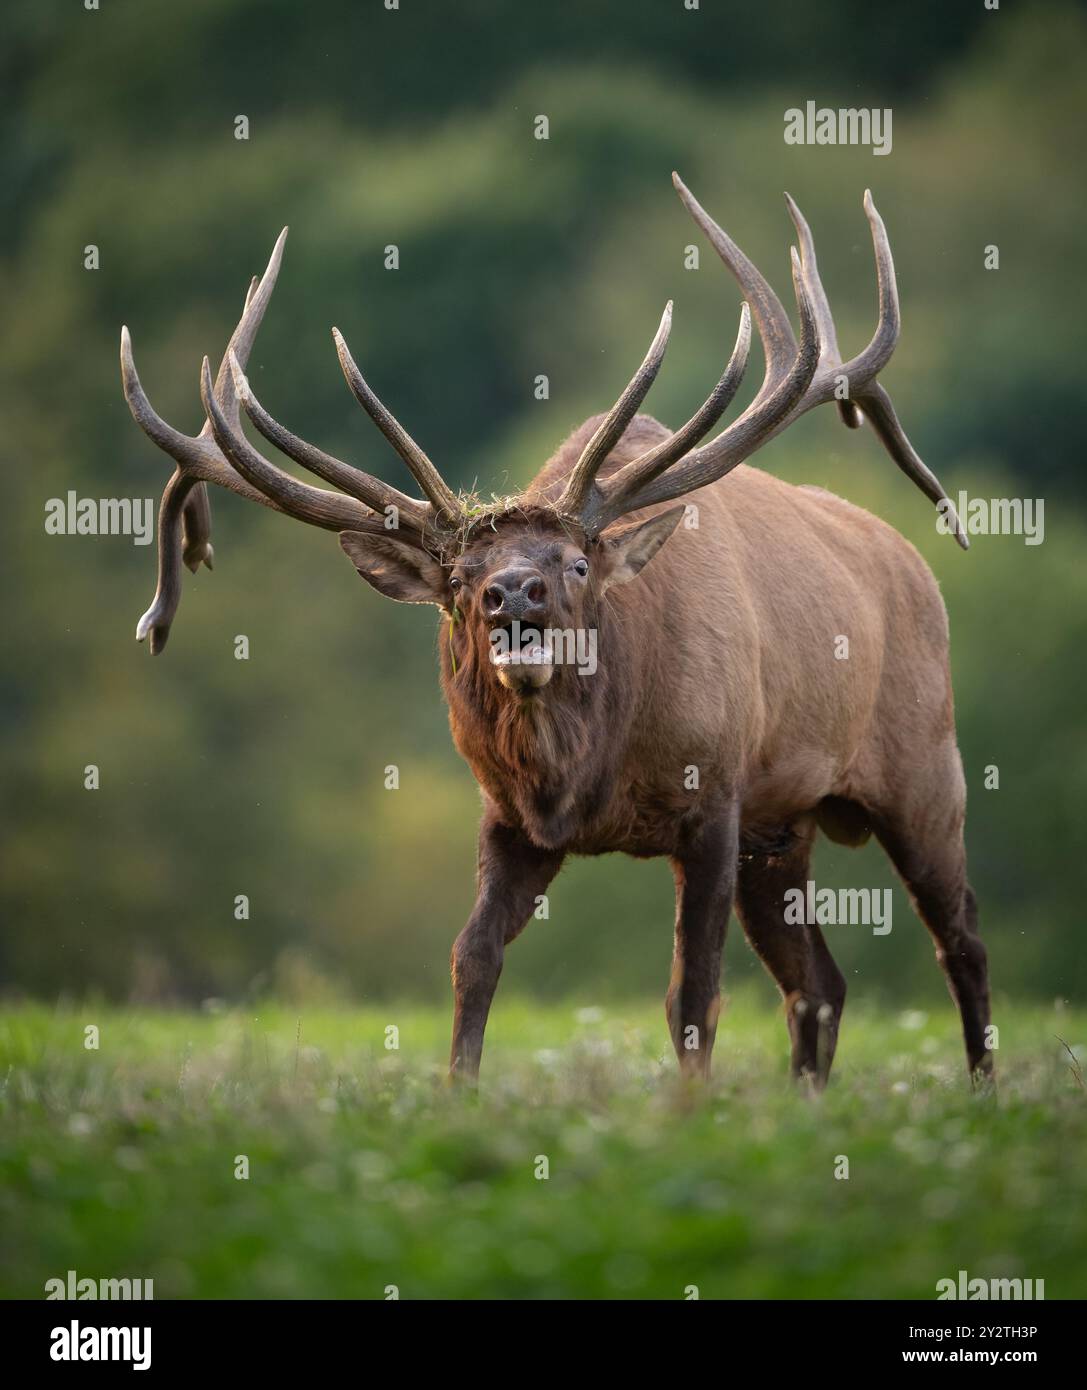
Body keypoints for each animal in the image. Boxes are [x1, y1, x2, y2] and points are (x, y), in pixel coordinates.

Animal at [119, 173, 992, 1090]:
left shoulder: (714, 797)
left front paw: (689, 1107)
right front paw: (457, 1093)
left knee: (959, 940)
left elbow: (693, 992)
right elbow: (471, 959)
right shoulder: (509, 818)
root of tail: (912, 566)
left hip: (923, 772)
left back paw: (982, 1090)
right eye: (459, 580)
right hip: (785, 829)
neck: (592, 766)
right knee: (820, 982)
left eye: (576, 563)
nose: (513, 592)